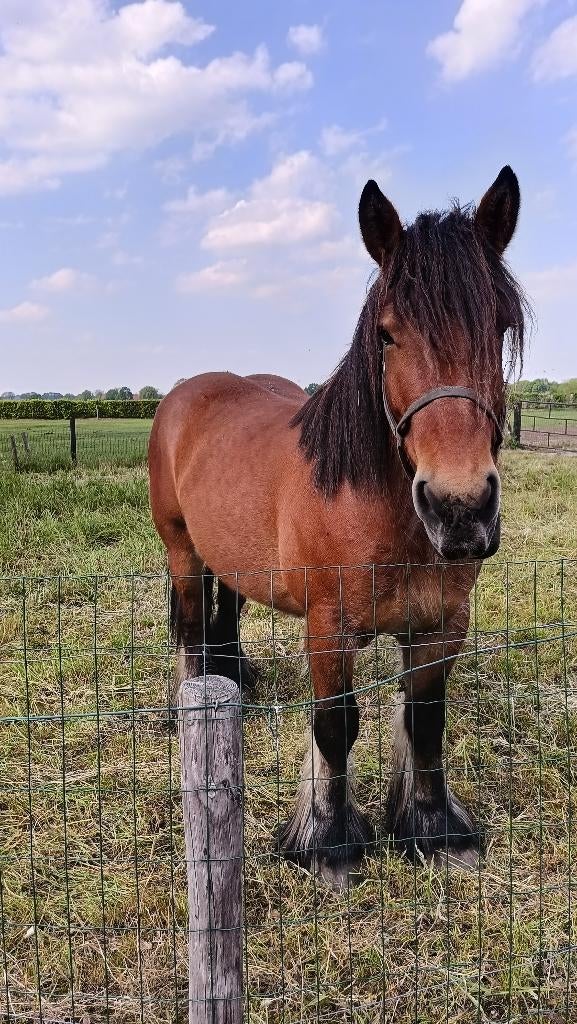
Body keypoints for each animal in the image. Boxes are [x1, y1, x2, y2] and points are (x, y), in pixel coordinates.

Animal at [148, 167, 527, 888]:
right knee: (189, 628)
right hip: (182, 550)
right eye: (387, 334)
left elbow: (425, 721)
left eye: (499, 326)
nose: (458, 507)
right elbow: (335, 726)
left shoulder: (440, 627)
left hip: (229, 558)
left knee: (224, 610)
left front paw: (433, 829)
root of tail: (187, 391)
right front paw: (326, 843)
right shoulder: (329, 631)